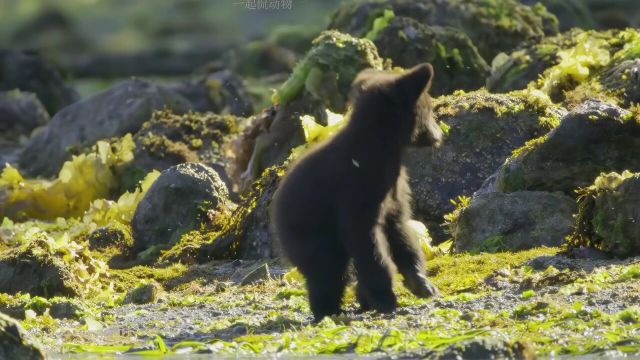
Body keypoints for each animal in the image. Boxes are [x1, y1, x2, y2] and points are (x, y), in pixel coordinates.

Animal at [272, 62, 444, 320]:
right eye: (430, 108)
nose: (440, 135)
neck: (382, 150)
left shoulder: (393, 190)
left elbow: (400, 231)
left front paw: (421, 283)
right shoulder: (356, 190)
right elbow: (366, 240)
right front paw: (386, 298)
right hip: (308, 233)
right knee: (327, 270)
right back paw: (329, 310)